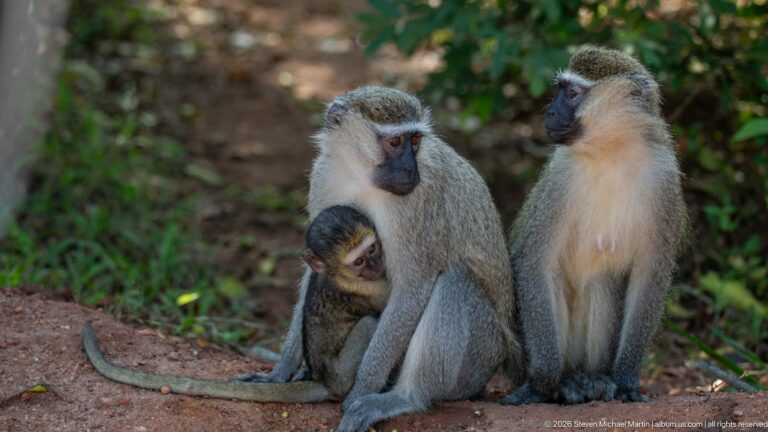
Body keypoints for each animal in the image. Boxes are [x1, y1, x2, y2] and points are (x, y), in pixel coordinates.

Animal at [82, 206, 390, 403]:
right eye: (359, 261)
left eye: (373, 249)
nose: (376, 265)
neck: (339, 274)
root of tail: (324, 382)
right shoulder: (363, 285)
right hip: (343, 373)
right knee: (368, 323)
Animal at [235, 85, 523, 432]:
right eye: (395, 142)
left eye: (415, 141)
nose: (410, 170)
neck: (360, 176)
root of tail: (504, 351)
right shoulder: (323, 176)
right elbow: (313, 271)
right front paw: (281, 371)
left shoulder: (416, 203)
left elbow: (413, 287)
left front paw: (362, 390)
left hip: (480, 356)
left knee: (455, 281)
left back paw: (406, 397)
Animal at [501, 46, 687, 406]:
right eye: (560, 90)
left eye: (572, 94)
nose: (549, 111)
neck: (610, 151)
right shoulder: (561, 178)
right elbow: (533, 262)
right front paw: (542, 383)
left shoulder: (664, 178)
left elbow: (649, 276)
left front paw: (626, 379)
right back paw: (565, 381)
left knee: (601, 283)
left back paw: (594, 378)